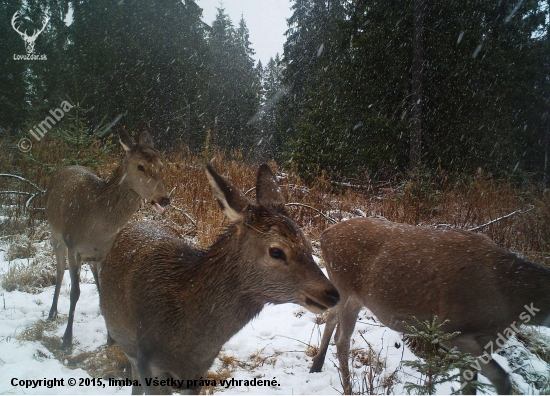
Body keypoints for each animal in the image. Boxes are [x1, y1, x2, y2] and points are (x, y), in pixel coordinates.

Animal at [45, 124, 169, 350]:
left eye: (160, 165)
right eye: (140, 166)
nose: (164, 199)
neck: (97, 226)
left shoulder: (105, 251)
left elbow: (103, 289)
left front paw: (110, 338)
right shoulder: (73, 246)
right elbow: (75, 292)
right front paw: (67, 339)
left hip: (90, 254)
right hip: (56, 235)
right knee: (58, 272)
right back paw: (52, 312)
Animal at [310, 218, 550, 394]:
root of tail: (324, 234)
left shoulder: (489, 340)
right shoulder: (454, 334)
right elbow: (500, 378)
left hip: (345, 291)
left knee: (331, 317)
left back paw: (316, 365)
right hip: (348, 289)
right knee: (342, 340)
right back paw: (347, 388)